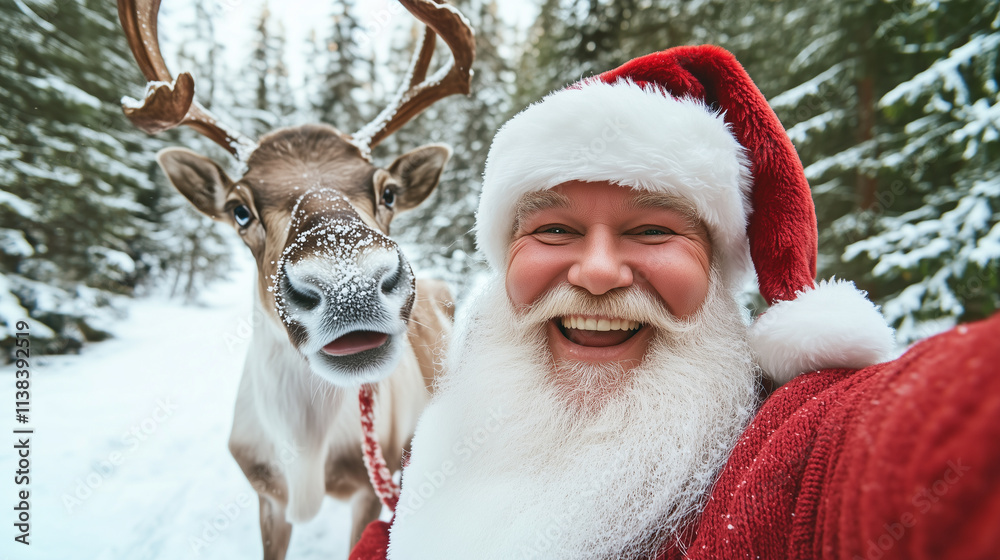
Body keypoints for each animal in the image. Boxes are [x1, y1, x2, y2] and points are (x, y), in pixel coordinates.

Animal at [116, 0, 474, 557]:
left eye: (388, 192)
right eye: (239, 209)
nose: (349, 285)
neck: (305, 453)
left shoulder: (369, 491)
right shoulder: (267, 497)